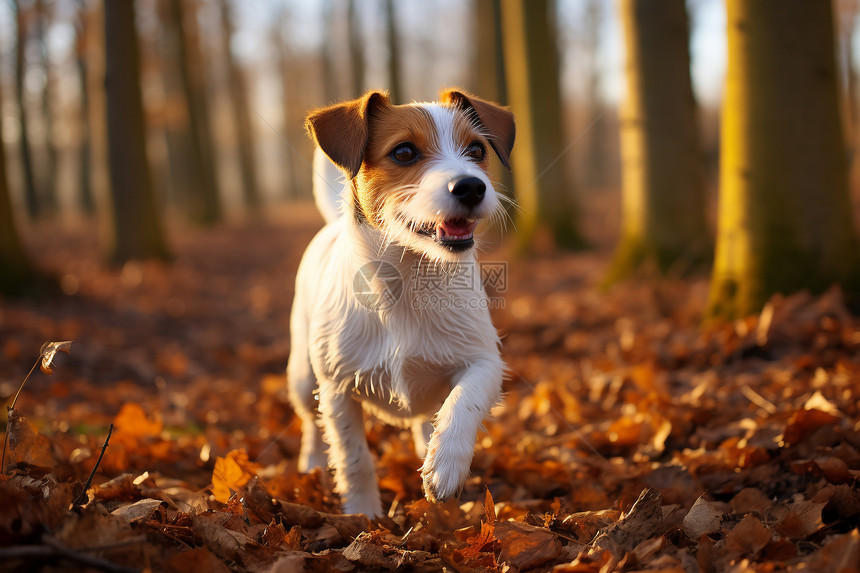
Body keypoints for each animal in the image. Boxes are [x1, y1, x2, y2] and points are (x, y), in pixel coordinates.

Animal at [288, 87, 512, 516]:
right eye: (404, 152)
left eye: (476, 150)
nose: (471, 187)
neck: (407, 281)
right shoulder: (337, 390)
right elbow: (354, 459)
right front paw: (363, 515)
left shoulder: (485, 360)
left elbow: (464, 402)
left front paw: (445, 465)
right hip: (304, 373)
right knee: (308, 420)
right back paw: (309, 461)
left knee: (429, 417)